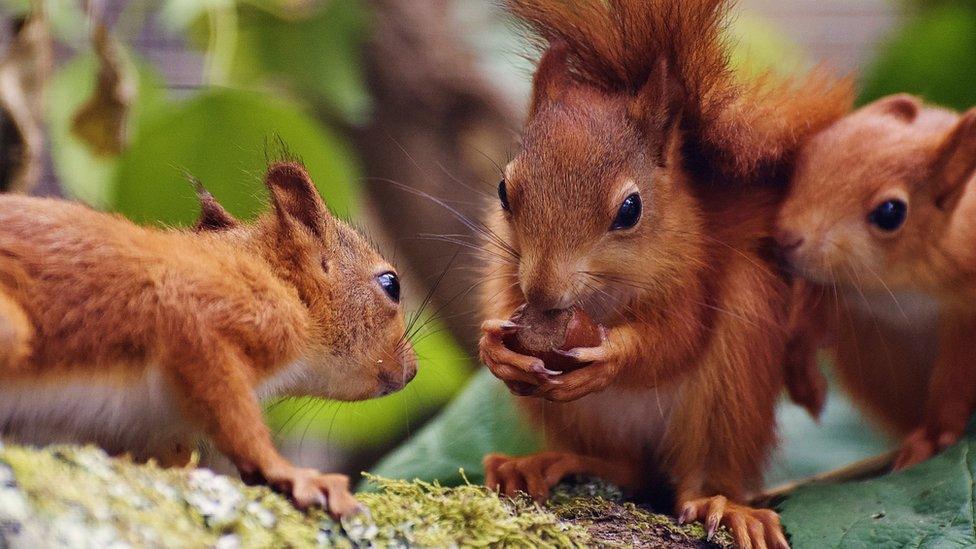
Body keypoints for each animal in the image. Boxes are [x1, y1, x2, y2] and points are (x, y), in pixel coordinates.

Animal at [0, 161, 416, 516]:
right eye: (391, 284)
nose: (412, 371)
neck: (279, 282)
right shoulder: (206, 316)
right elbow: (233, 413)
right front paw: (287, 471)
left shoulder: (151, 427)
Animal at [476, 2, 852, 544]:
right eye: (504, 190)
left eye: (631, 209)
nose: (544, 292)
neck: (601, 296)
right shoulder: (505, 267)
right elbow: (500, 303)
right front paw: (494, 347)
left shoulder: (692, 273)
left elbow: (676, 339)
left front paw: (612, 355)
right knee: (625, 467)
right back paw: (540, 464)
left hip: (731, 379)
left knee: (698, 474)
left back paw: (722, 503)